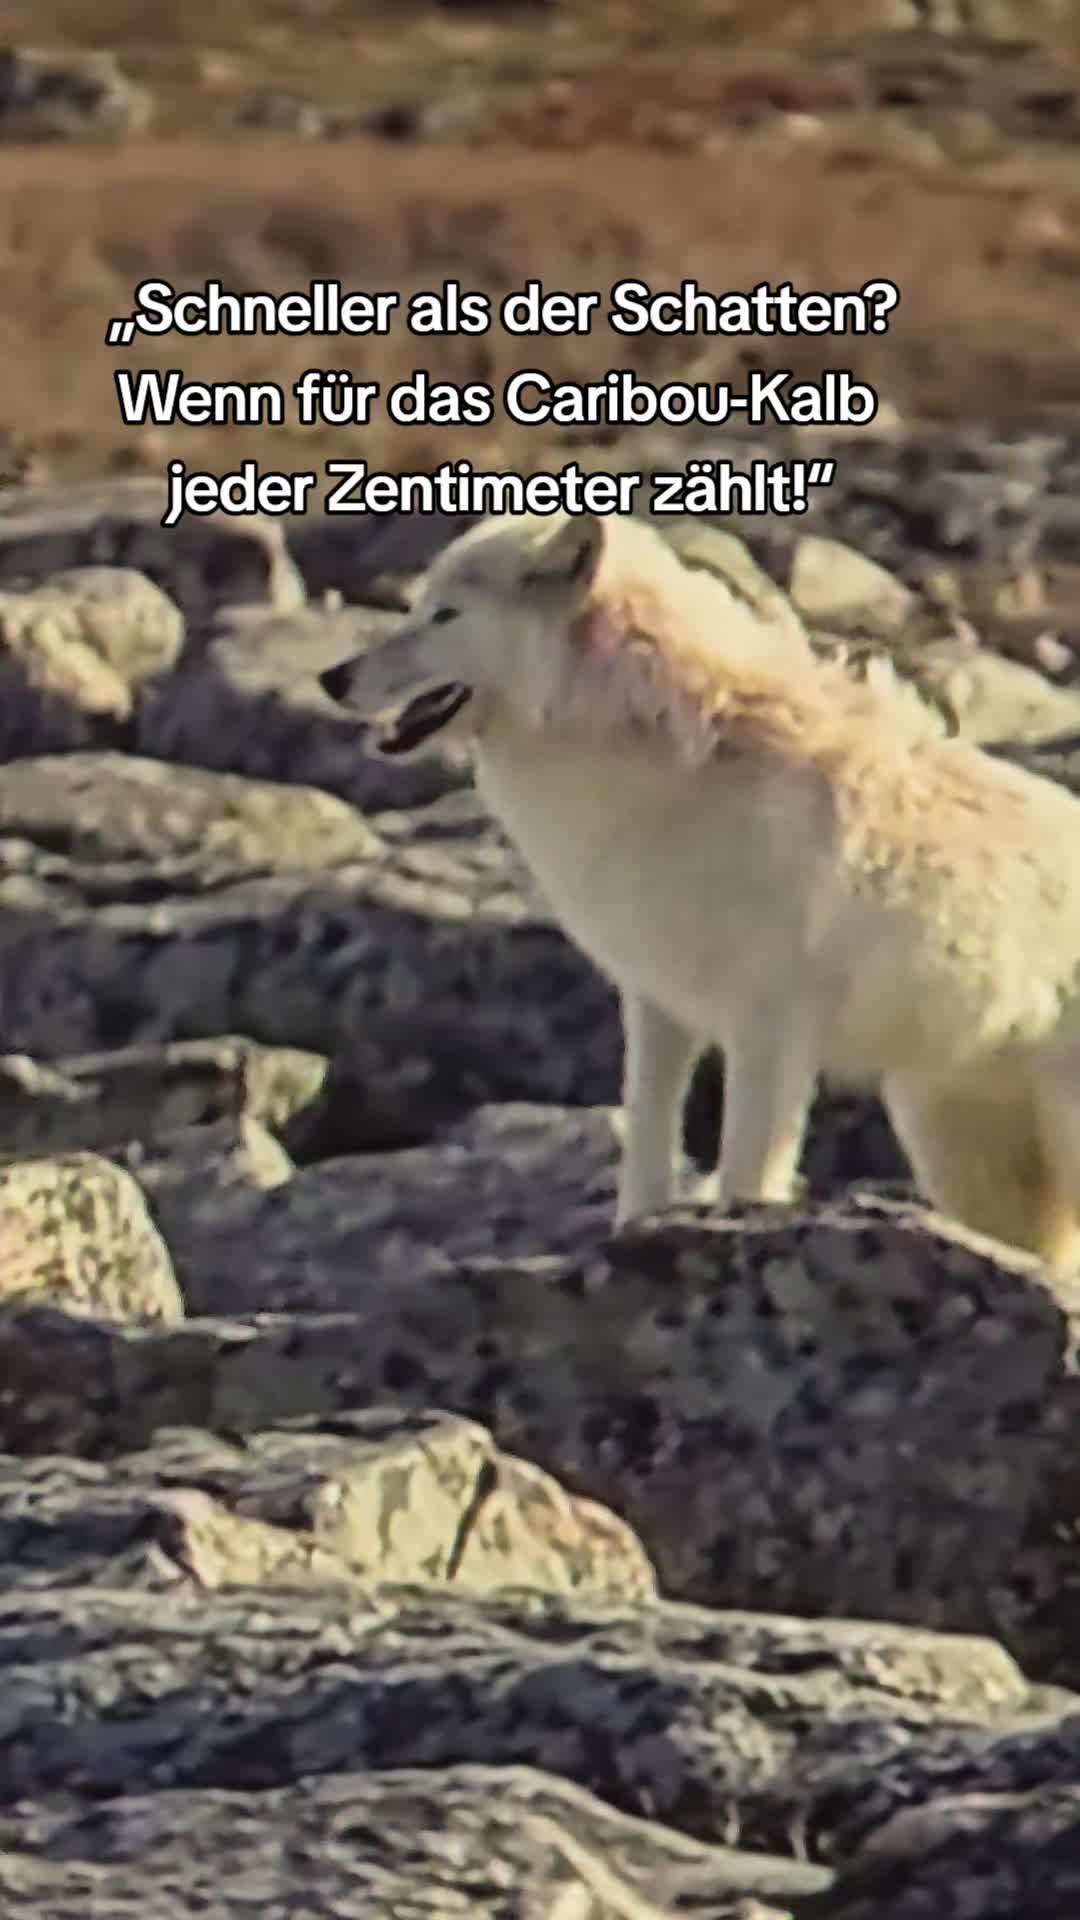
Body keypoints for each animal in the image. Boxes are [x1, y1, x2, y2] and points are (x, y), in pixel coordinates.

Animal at [320, 509, 1080, 1273]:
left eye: (444, 615)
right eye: (417, 607)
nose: (331, 677)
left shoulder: (769, 1027)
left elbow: (747, 1169)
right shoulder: (657, 1003)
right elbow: (648, 1144)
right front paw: (638, 1236)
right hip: (960, 1155)